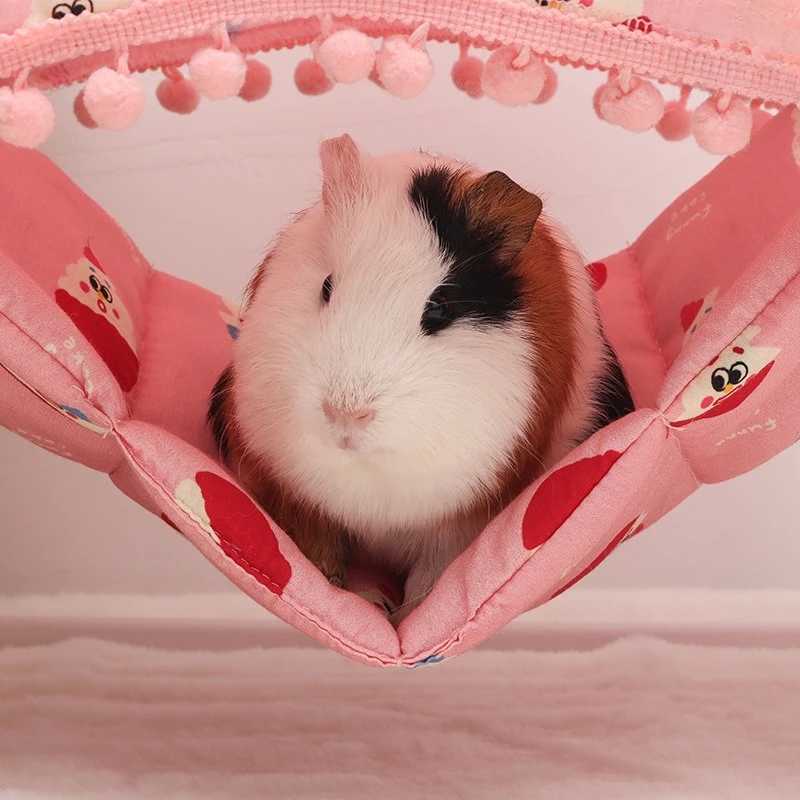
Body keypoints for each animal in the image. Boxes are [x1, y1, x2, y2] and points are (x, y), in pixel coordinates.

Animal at [209, 134, 633, 623]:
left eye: (440, 308)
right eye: (327, 287)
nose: (345, 414)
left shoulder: (456, 526)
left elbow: (430, 583)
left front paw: (403, 617)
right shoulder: (303, 501)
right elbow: (323, 560)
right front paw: (365, 601)